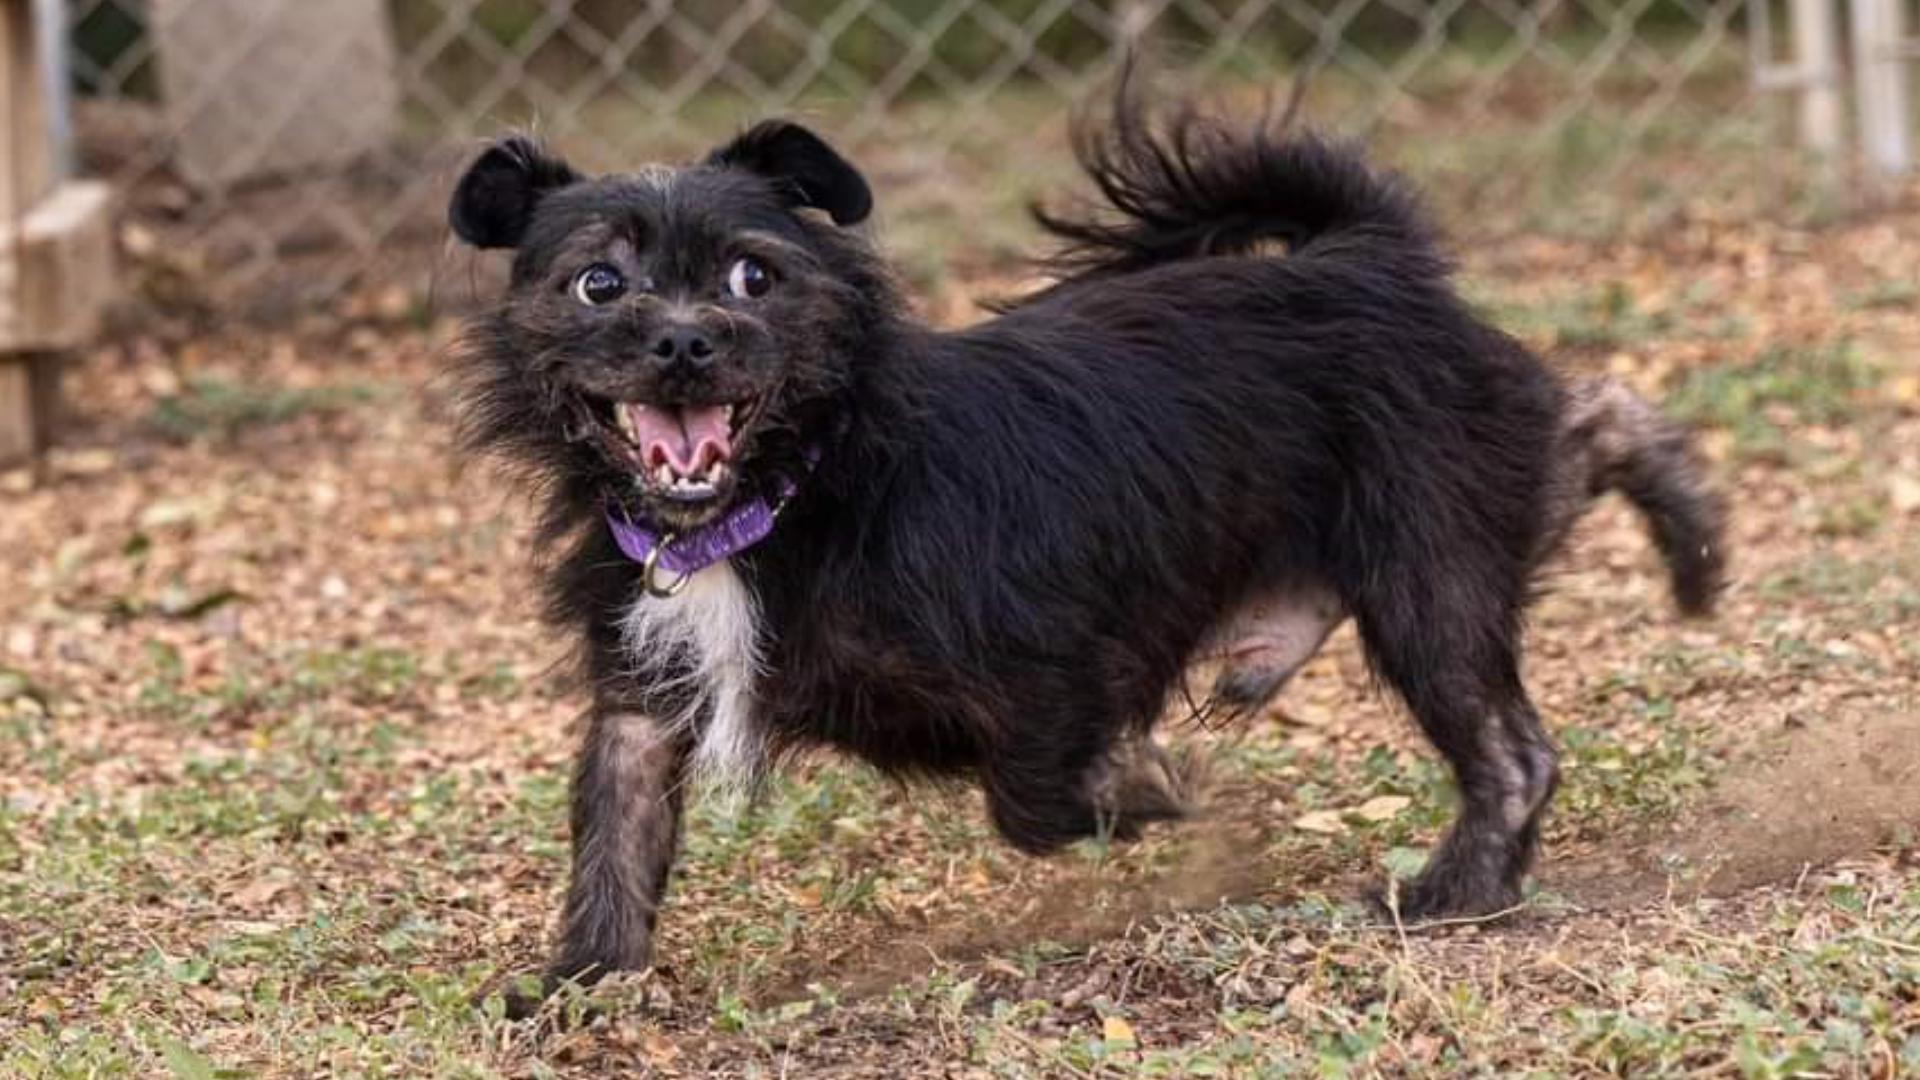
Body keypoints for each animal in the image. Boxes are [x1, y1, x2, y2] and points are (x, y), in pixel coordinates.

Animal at [449, 96, 1728, 999]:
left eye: (753, 274)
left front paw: (1148, 787)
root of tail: (1370, 254)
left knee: (1516, 740)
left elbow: (1035, 799)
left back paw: (1465, 883)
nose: (682, 343)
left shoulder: (1058, 649)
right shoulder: (639, 691)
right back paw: (1691, 525)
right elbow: (613, 840)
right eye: (597, 282)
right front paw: (579, 988)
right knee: (1582, 425)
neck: (791, 492)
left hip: (1428, 574)